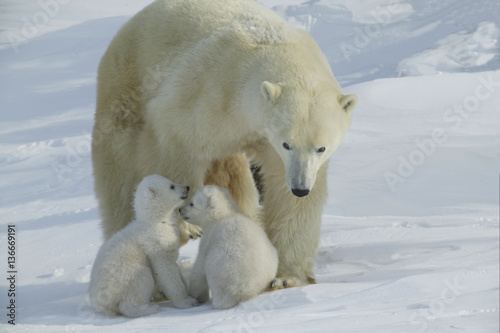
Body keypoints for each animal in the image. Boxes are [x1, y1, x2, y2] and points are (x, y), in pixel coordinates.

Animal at [89, 174, 198, 316]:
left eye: (171, 181)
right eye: (171, 186)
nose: (187, 187)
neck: (155, 220)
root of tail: (99, 303)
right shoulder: (156, 243)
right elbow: (165, 270)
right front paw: (187, 301)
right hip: (122, 277)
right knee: (140, 281)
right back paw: (149, 308)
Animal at [91, 0, 356, 288]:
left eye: (321, 148)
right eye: (287, 144)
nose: (300, 188)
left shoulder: (275, 146)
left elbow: (288, 198)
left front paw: (287, 277)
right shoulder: (211, 91)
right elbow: (175, 142)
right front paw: (185, 226)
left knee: (230, 176)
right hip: (127, 88)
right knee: (121, 174)